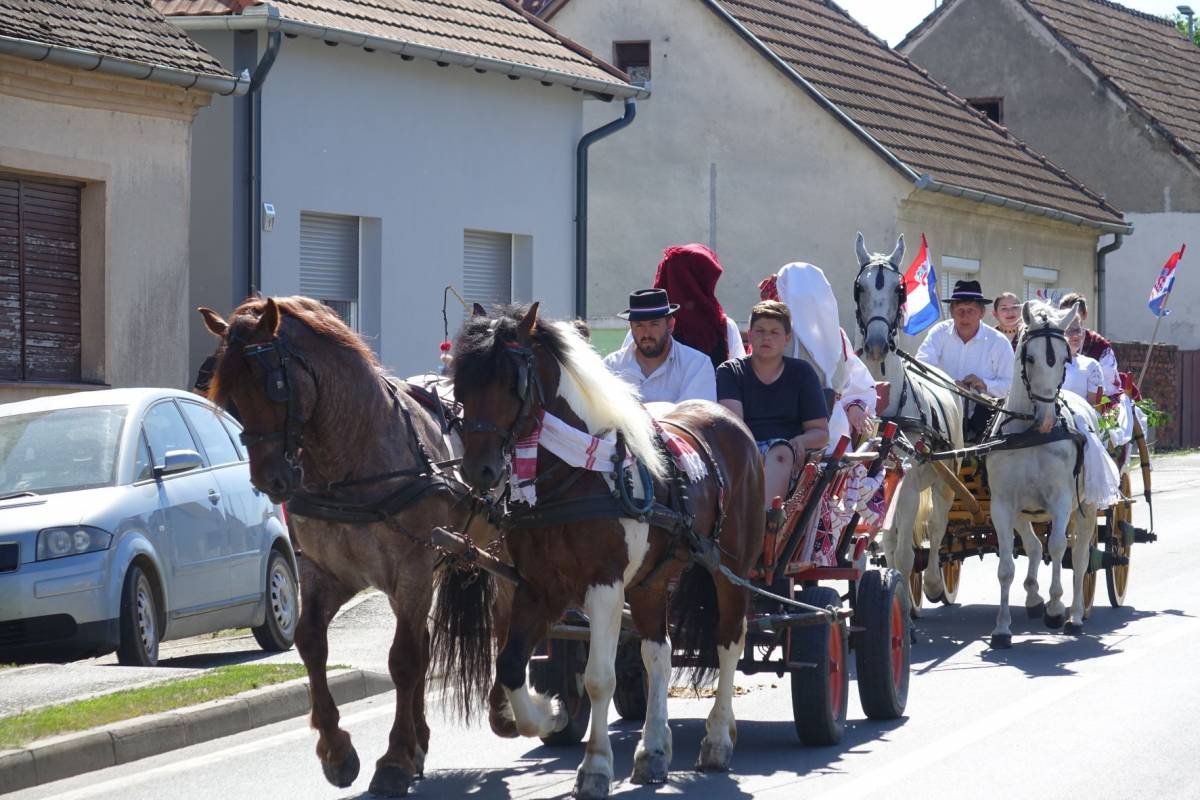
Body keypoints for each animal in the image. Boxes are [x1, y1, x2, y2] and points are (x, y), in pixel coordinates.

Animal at [199, 296, 484, 797]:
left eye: (274, 384)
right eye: (228, 394)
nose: (270, 479)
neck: (351, 463)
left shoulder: (411, 571)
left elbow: (403, 661)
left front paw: (393, 759)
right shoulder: (328, 573)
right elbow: (311, 643)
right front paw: (337, 750)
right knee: (425, 644)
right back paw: (420, 739)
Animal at [444, 303, 764, 800]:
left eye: (511, 382)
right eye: (461, 383)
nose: (480, 470)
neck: (576, 473)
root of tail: (730, 422)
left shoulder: (605, 587)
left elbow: (599, 678)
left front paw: (594, 767)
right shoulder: (538, 589)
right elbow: (511, 665)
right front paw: (549, 714)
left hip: (731, 570)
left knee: (729, 643)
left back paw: (717, 739)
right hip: (652, 582)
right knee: (658, 655)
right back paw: (653, 750)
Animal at [852, 233, 965, 613]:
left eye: (899, 289)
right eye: (860, 287)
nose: (875, 344)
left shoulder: (910, 486)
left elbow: (904, 551)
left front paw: (901, 600)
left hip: (944, 481)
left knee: (937, 526)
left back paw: (932, 583)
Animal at [985, 300, 1098, 648]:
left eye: (1064, 359)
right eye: (1029, 357)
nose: (1048, 419)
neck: (1031, 434)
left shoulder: (1061, 501)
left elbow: (1060, 548)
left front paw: (1056, 608)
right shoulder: (1002, 505)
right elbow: (1005, 566)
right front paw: (1002, 629)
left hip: (1087, 508)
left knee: (1080, 557)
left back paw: (1075, 615)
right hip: (1023, 512)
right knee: (1034, 546)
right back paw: (1035, 599)